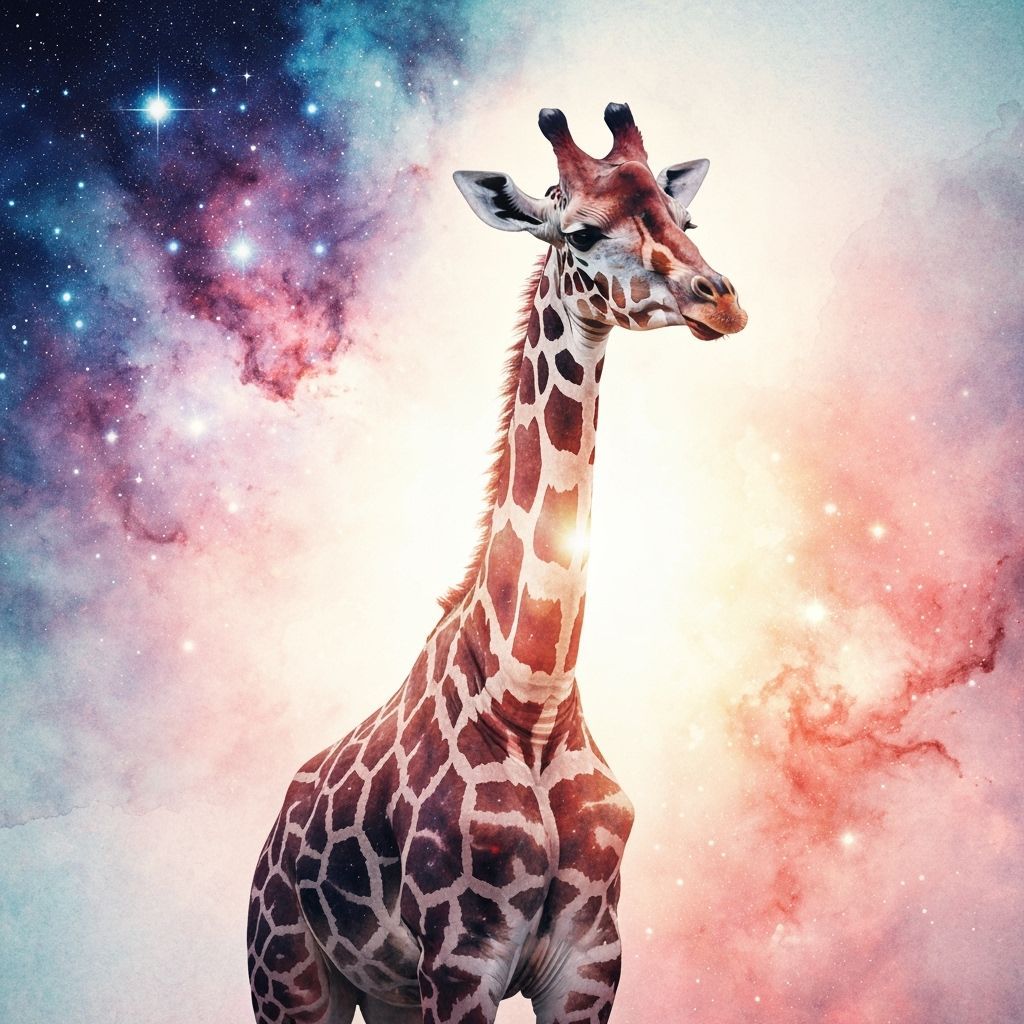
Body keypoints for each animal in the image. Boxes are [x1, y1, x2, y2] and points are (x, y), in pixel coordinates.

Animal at [247, 102, 747, 1024]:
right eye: (580, 232)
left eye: (683, 218)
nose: (722, 301)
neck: (532, 700)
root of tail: (269, 841)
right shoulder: (460, 960)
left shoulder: (590, 960)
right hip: (290, 979)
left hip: (386, 993)